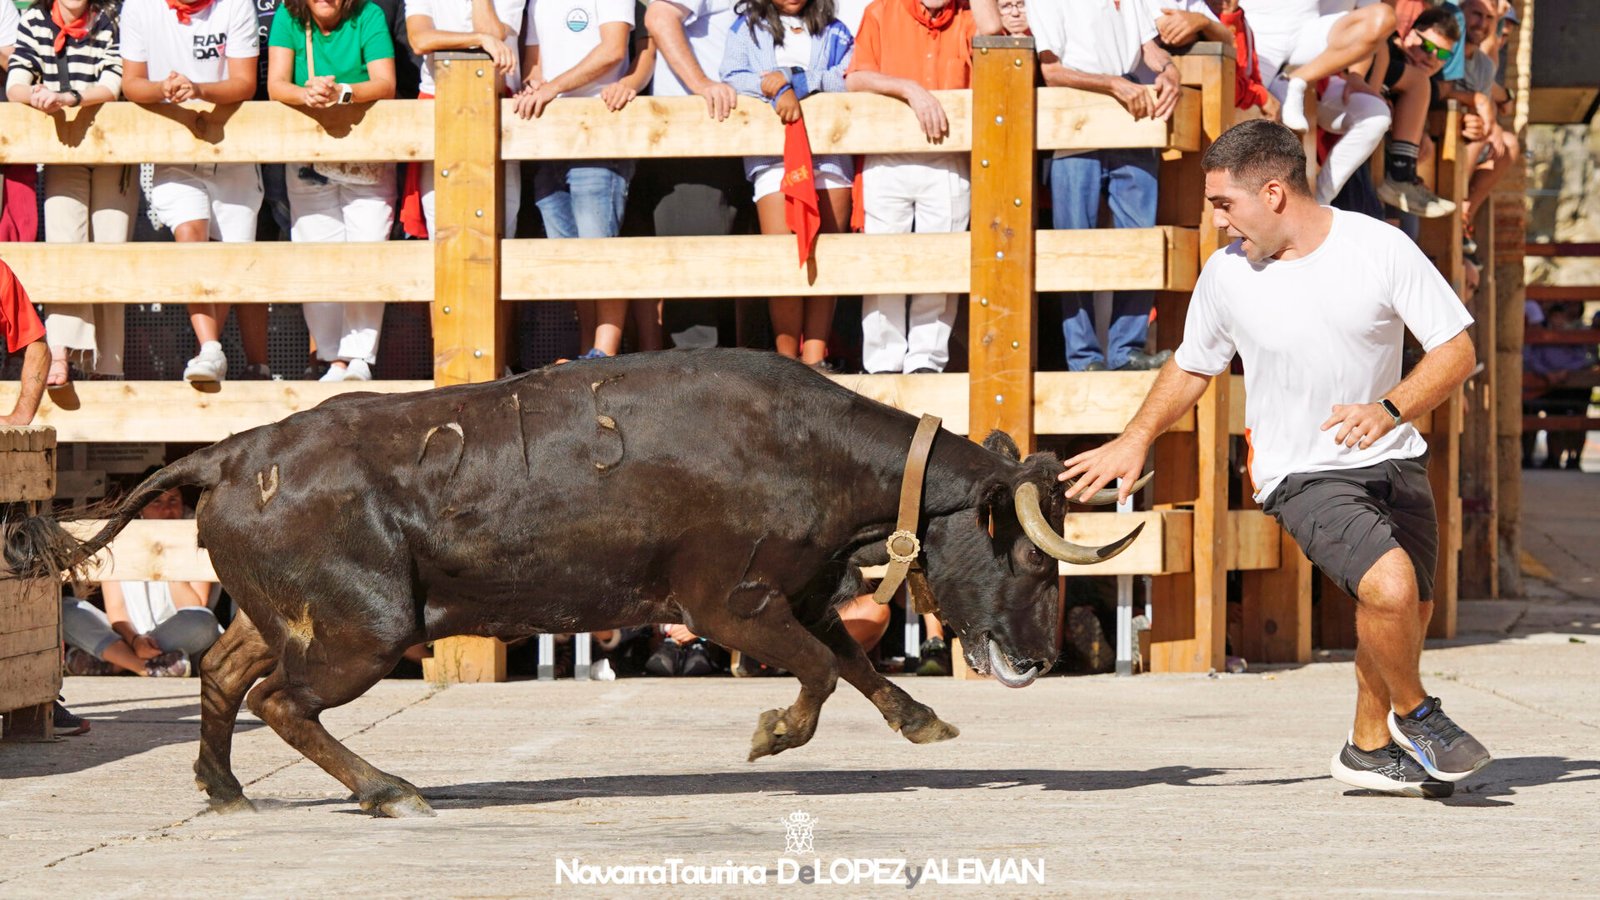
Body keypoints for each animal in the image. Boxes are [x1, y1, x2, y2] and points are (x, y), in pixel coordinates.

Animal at [6, 349, 1145, 813]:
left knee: (224, 673)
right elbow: (821, 674)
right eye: (1029, 554)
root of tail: (231, 452)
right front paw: (772, 733)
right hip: (366, 631)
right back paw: (388, 791)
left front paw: (921, 720)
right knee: (282, 700)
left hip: (303, 617)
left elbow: (856, 664)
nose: (1037, 659)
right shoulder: (730, 604)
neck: (806, 447)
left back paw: (226, 788)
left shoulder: (793, 595)